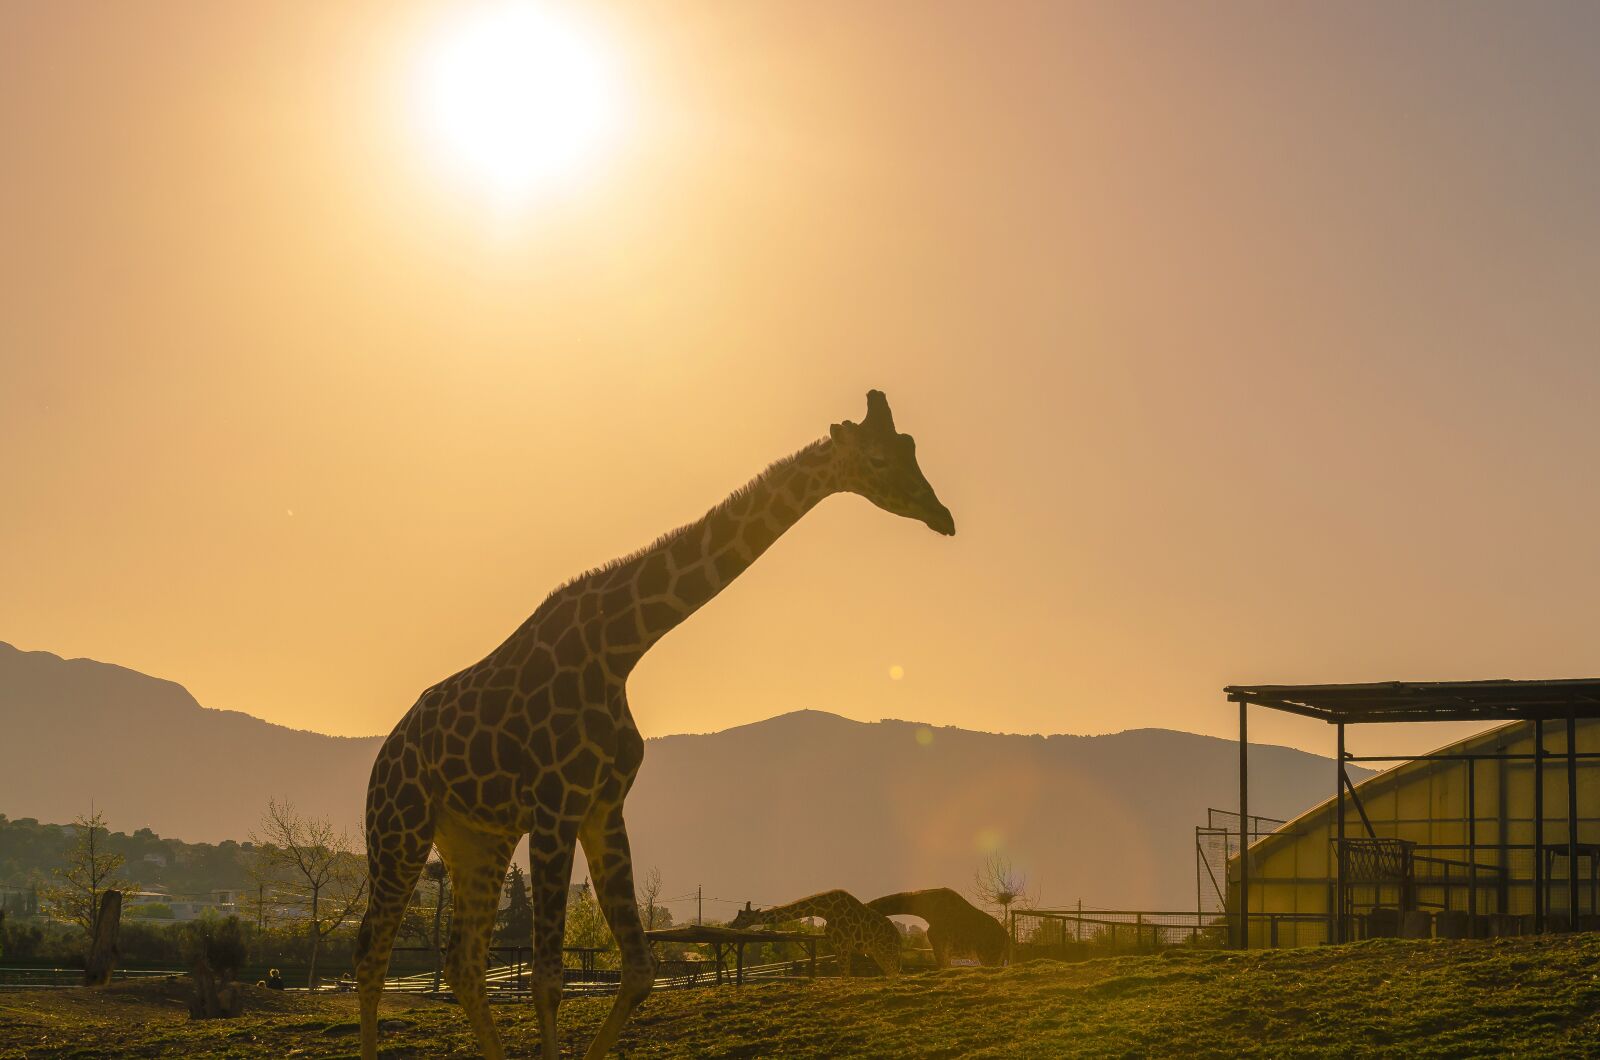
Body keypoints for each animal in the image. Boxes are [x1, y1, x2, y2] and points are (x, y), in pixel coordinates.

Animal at [730, 890, 903, 978]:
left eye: (743, 917)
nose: (732, 925)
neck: (825, 910)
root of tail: (899, 938)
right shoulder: (837, 944)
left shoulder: (843, 944)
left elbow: (845, 977)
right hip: (877, 953)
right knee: (891, 974)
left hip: (887, 952)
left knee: (894, 973)